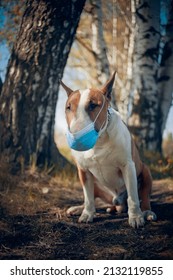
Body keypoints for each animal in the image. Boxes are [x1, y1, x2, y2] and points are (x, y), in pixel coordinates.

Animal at [59, 72, 157, 228]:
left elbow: (133, 196)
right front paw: (87, 214)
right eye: (68, 107)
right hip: (95, 185)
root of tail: (117, 202)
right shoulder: (83, 171)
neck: (98, 142)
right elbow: (88, 197)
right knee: (91, 196)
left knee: (143, 195)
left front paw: (136, 217)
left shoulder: (128, 166)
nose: (76, 137)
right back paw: (80, 208)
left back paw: (146, 212)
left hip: (145, 171)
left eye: (93, 105)